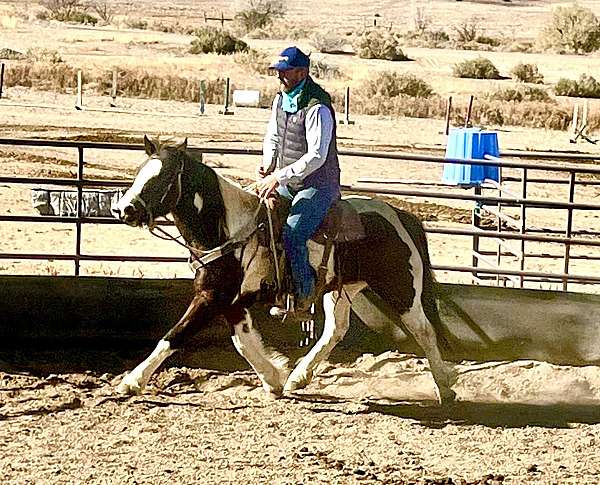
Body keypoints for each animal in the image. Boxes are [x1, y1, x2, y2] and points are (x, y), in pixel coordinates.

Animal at [112, 137, 458, 404]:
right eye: (140, 173)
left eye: (161, 177)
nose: (124, 210)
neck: (231, 230)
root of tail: (400, 215)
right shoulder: (232, 302)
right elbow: (243, 343)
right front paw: (274, 379)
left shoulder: (211, 298)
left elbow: (174, 335)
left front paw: (132, 381)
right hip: (341, 290)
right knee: (335, 330)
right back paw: (299, 377)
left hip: (401, 289)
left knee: (424, 330)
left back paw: (444, 387)